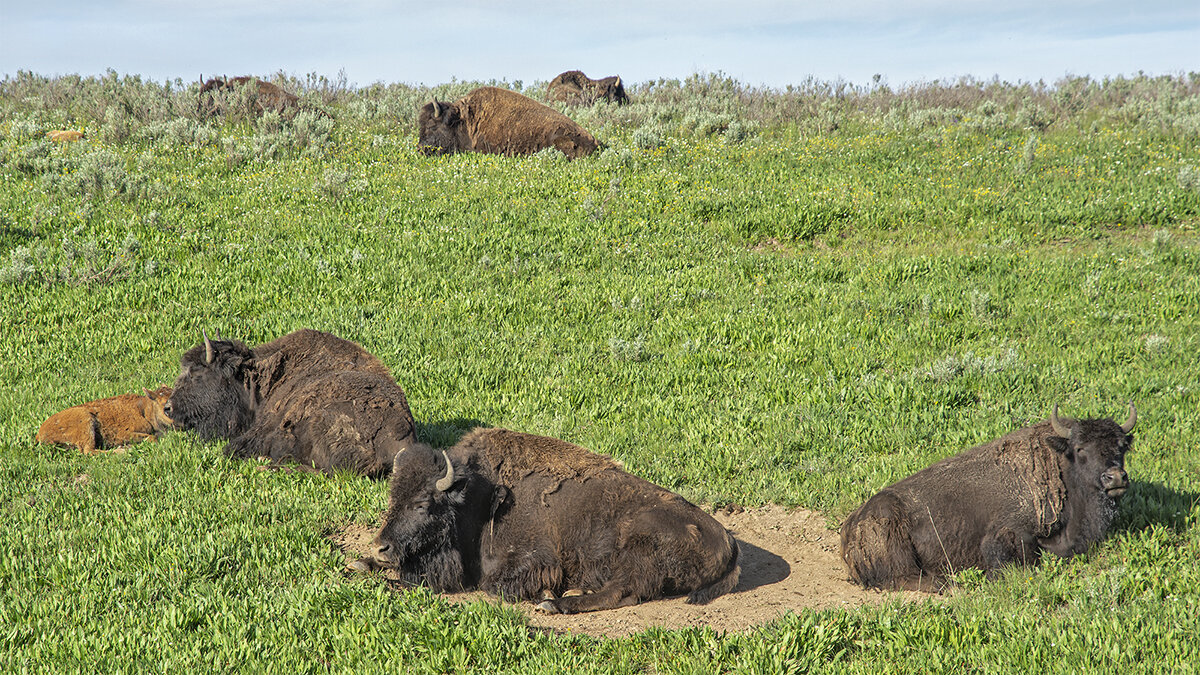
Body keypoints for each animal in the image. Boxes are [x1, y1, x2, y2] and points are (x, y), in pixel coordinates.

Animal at [35, 386, 175, 454]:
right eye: (165, 406)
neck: (145, 410)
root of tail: (39, 435)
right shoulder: (121, 433)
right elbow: (152, 437)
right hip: (86, 420)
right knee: (88, 451)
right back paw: (122, 451)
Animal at [352, 427, 739, 612]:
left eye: (423, 503)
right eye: (393, 497)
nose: (381, 546)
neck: (479, 494)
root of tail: (726, 538)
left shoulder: (535, 561)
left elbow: (491, 585)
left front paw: (547, 592)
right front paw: (360, 563)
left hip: (638, 548)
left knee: (623, 592)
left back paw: (556, 603)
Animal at [840, 401, 1137, 586]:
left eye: (1122, 446)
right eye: (1080, 449)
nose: (1115, 477)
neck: (1059, 465)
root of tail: (851, 527)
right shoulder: (1006, 532)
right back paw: (946, 583)